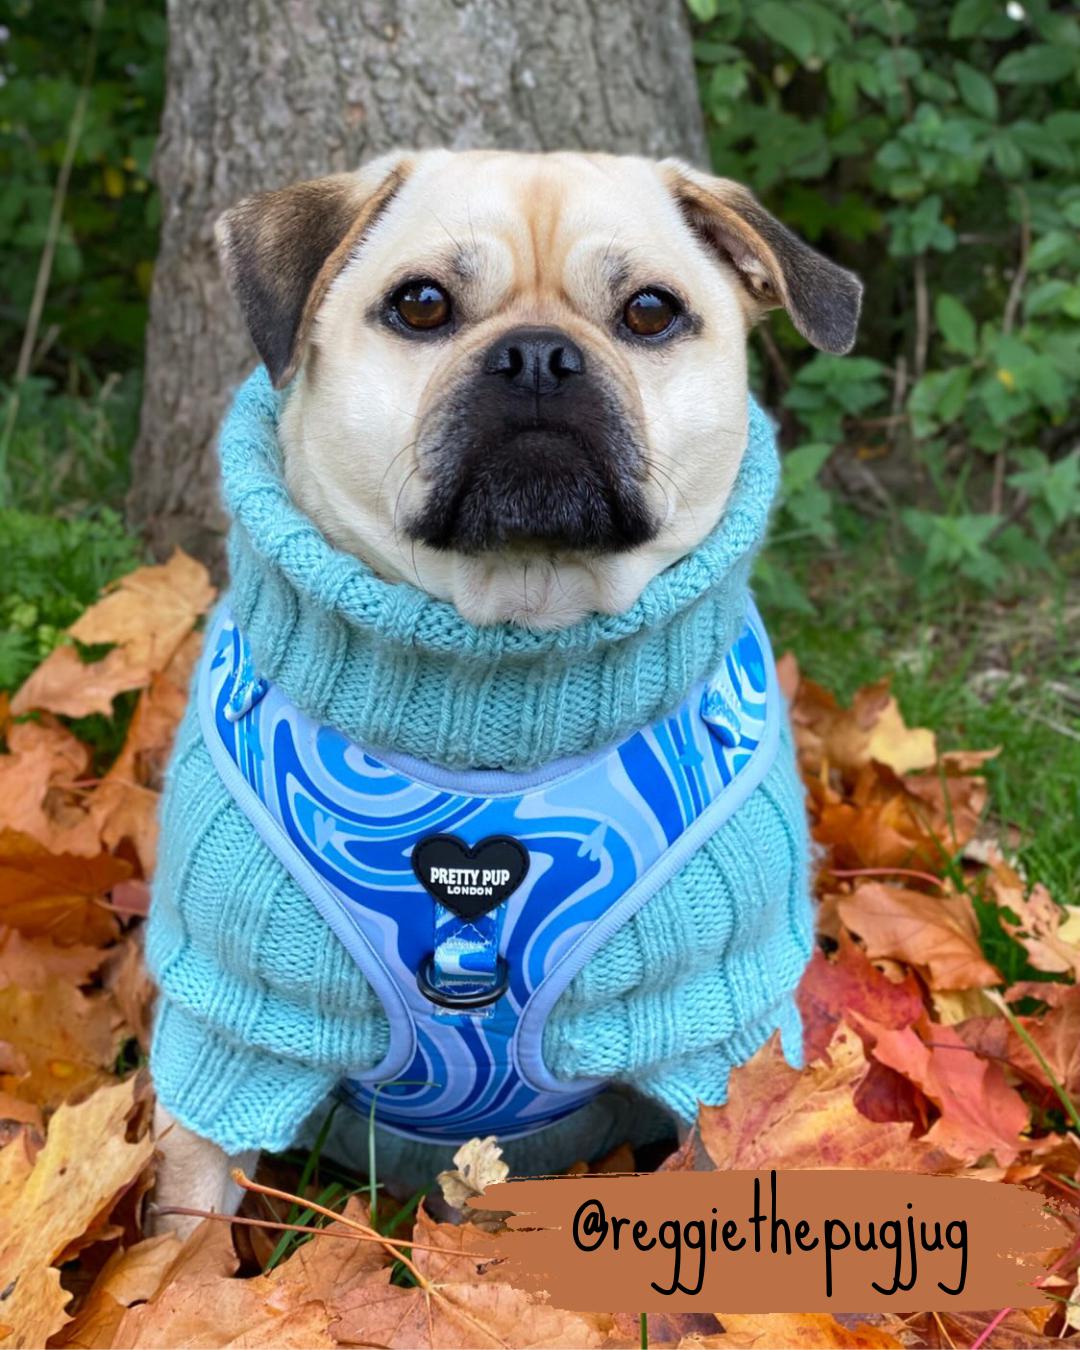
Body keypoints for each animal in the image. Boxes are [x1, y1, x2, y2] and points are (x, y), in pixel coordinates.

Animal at [151, 150, 858, 1236]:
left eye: (651, 312)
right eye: (422, 304)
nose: (536, 356)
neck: (502, 681)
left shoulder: (717, 1029)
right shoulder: (236, 1021)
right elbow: (185, 1232)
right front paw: (168, 1273)